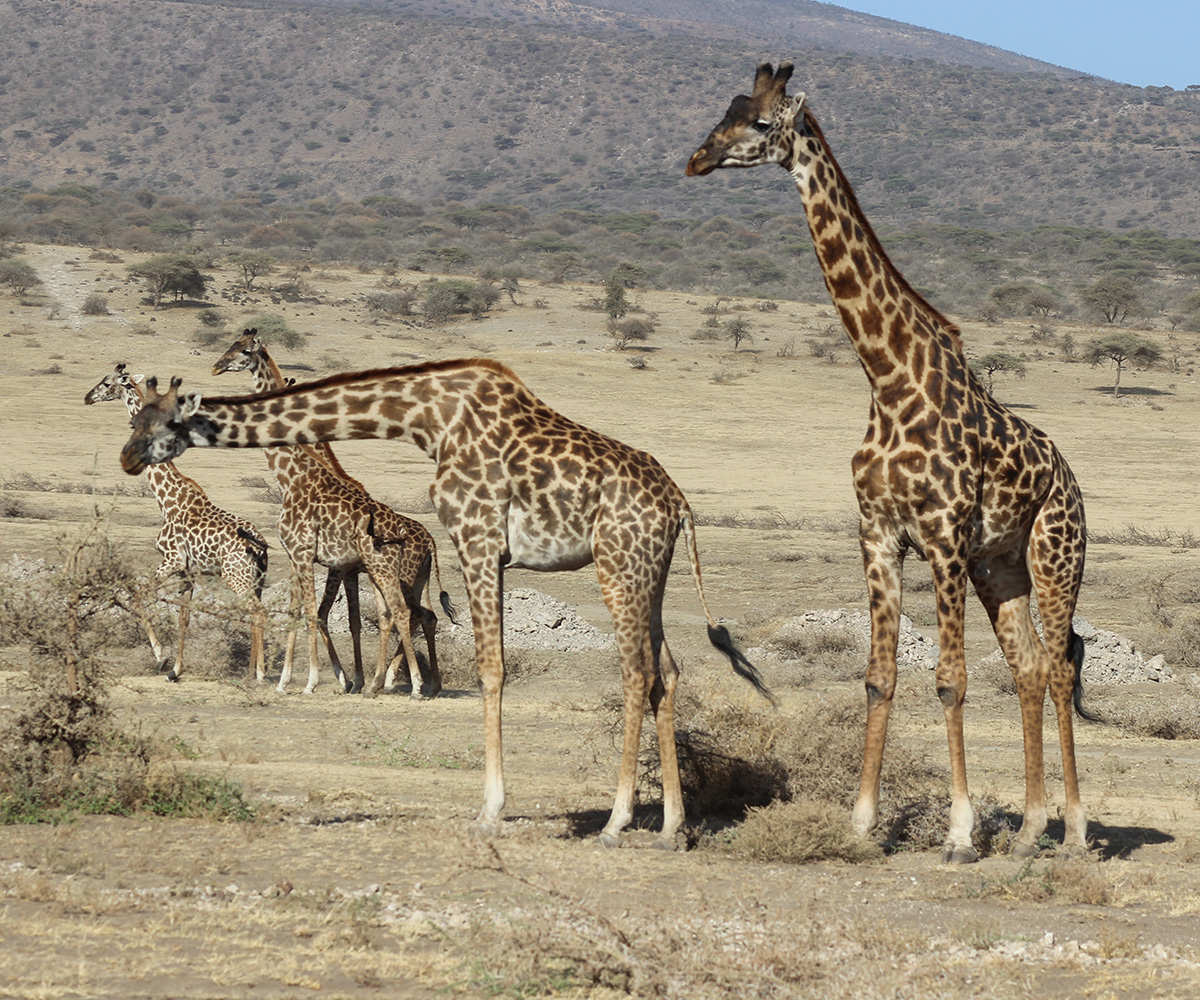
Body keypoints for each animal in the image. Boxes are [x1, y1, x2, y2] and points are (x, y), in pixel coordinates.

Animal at [85, 362, 270, 681]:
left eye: (107, 382)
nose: (87, 397)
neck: (167, 498)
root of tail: (259, 546)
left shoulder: (171, 560)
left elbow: (138, 595)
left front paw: (161, 658)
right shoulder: (187, 570)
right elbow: (184, 617)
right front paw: (175, 670)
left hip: (237, 577)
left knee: (258, 613)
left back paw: (259, 675)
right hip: (255, 580)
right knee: (254, 614)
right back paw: (252, 673)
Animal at [117, 360, 772, 845]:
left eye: (163, 421)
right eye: (136, 413)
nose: (126, 457)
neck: (426, 418)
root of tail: (680, 503)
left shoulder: (478, 539)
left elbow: (490, 668)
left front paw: (488, 812)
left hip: (618, 564)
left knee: (637, 672)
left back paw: (615, 824)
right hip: (649, 572)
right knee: (668, 670)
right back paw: (669, 828)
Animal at [686, 62, 1089, 859]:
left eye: (761, 123)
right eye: (726, 111)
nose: (697, 159)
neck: (888, 377)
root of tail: (1074, 483)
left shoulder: (942, 538)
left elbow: (950, 680)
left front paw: (960, 830)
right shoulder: (878, 534)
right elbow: (879, 677)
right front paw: (862, 822)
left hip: (1056, 556)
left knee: (1059, 669)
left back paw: (1077, 828)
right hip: (1002, 568)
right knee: (1029, 668)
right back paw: (1031, 828)